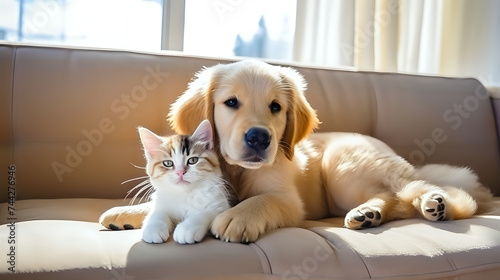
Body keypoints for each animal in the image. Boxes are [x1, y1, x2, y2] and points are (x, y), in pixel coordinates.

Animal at [99, 59, 494, 243]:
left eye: (275, 107)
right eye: (231, 103)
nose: (260, 138)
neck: (237, 171)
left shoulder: (288, 201)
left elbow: (259, 201)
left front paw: (236, 218)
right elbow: (161, 202)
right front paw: (125, 213)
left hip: (343, 165)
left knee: (417, 191)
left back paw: (437, 204)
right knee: (394, 199)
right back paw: (368, 214)